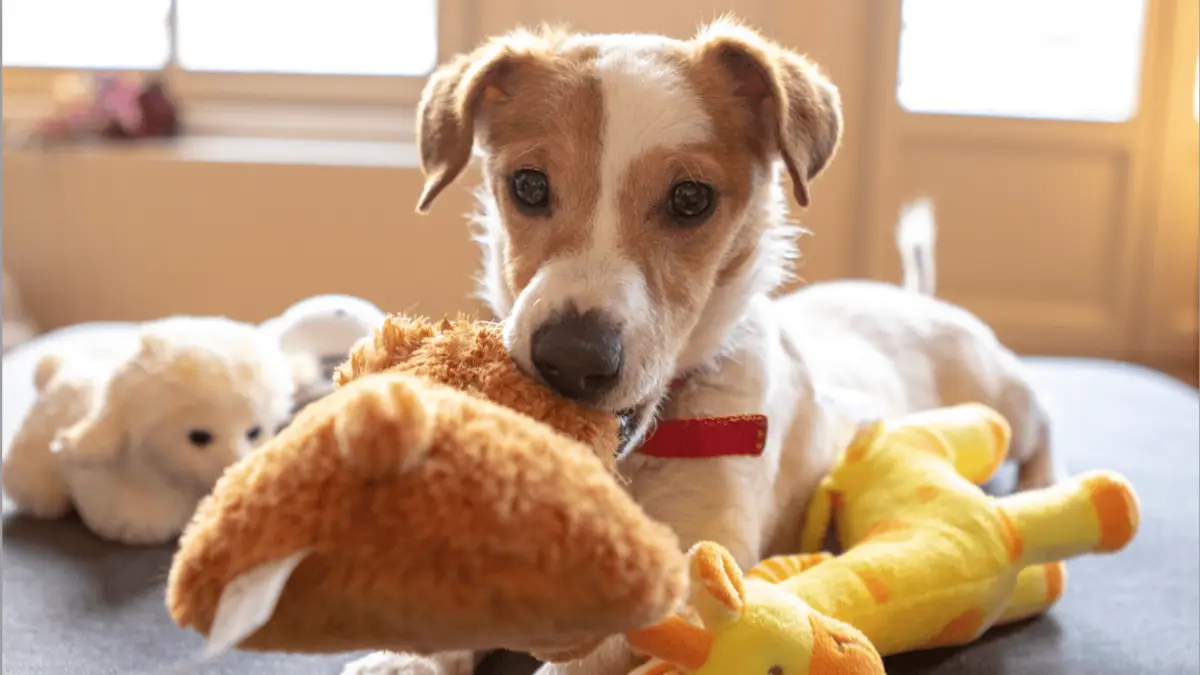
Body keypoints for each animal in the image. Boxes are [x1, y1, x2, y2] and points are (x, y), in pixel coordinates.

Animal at [343, 15, 1056, 672]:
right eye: (528, 186)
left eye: (691, 198)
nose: (571, 360)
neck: (636, 457)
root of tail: (913, 296)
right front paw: (406, 658)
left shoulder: (705, 561)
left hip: (1003, 400)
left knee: (1042, 428)